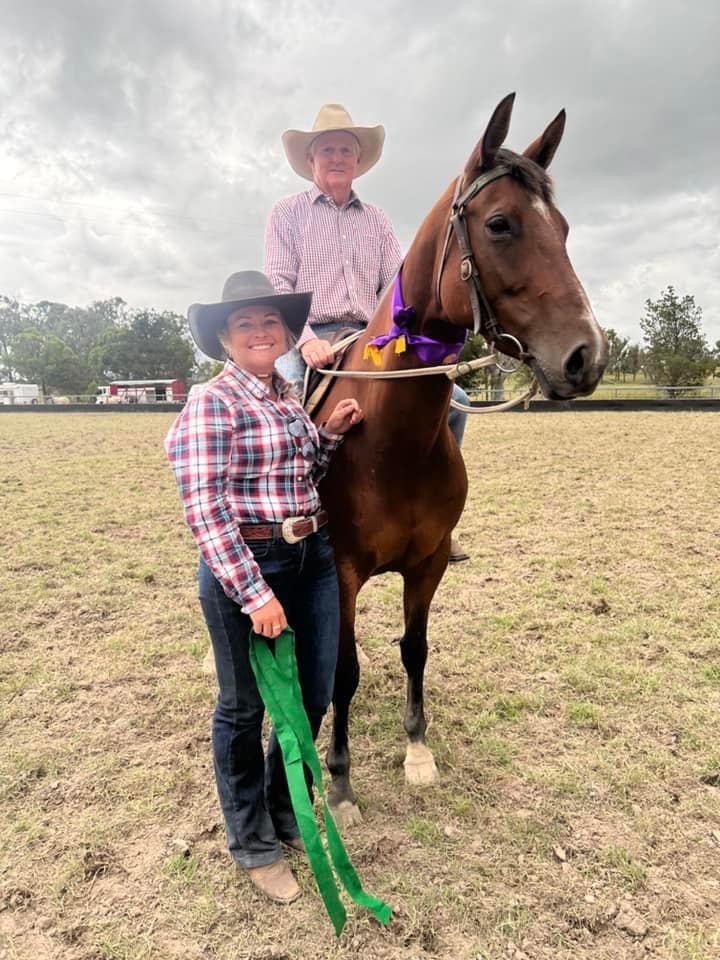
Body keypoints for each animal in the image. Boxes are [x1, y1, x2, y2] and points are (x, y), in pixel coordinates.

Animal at [313, 93, 609, 828]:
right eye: (500, 224)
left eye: (564, 228)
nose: (588, 356)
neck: (389, 443)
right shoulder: (343, 571)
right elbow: (343, 672)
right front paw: (340, 781)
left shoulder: (429, 563)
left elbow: (414, 650)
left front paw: (417, 751)